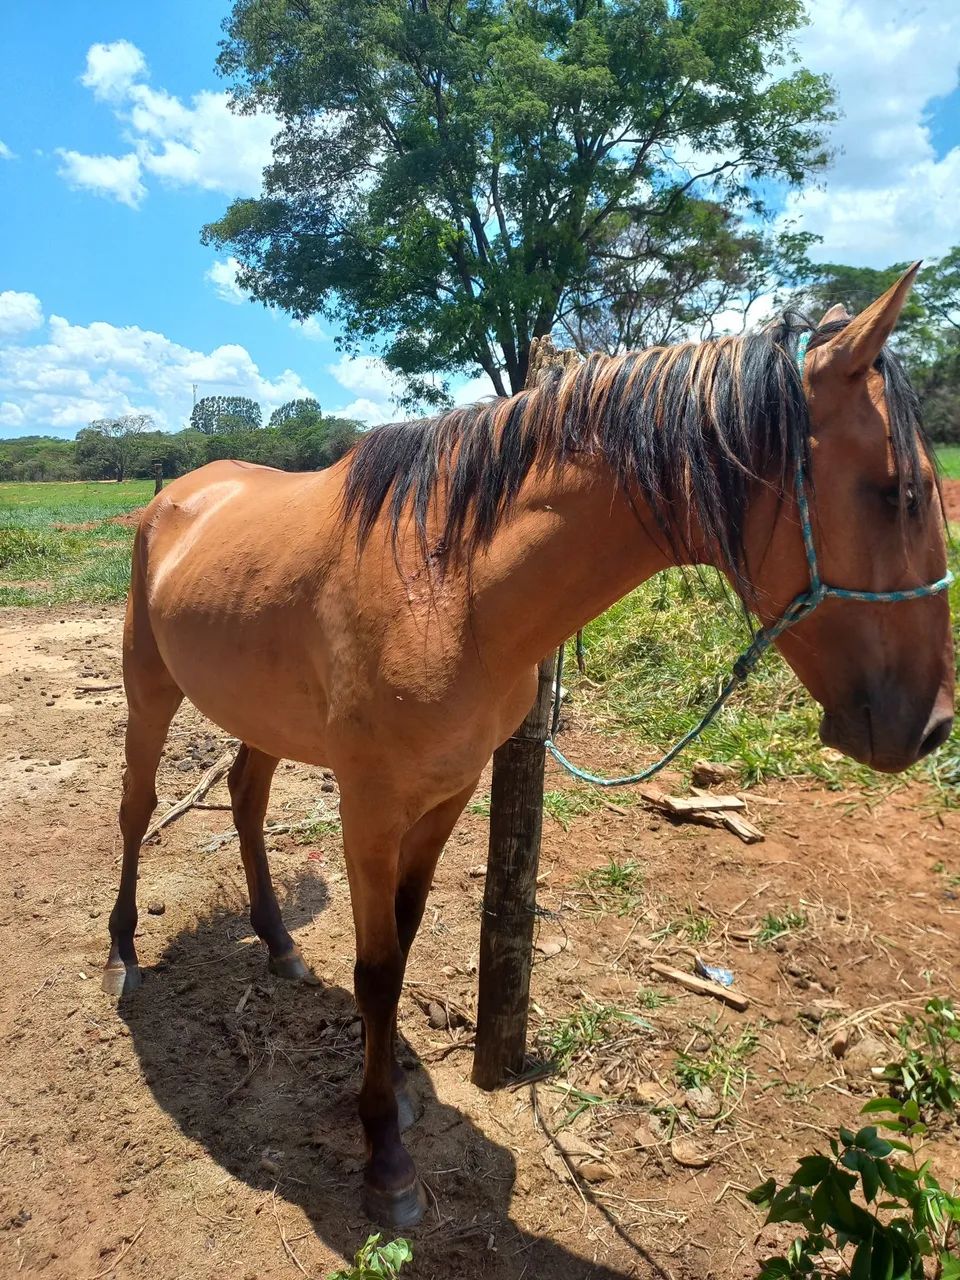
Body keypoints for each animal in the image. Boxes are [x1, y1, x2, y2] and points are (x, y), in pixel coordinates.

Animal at [103, 263, 953, 1228]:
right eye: (901, 492)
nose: (932, 725)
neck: (450, 582)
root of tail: (177, 494)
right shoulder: (371, 807)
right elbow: (377, 968)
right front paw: (385, 1155)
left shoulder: (450, 793)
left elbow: (402, 942)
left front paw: (394, 1086)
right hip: (149, 688)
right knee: (136, 809)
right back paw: (123, 955)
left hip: (260, 716)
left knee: (246, 800)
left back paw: (279, 944)